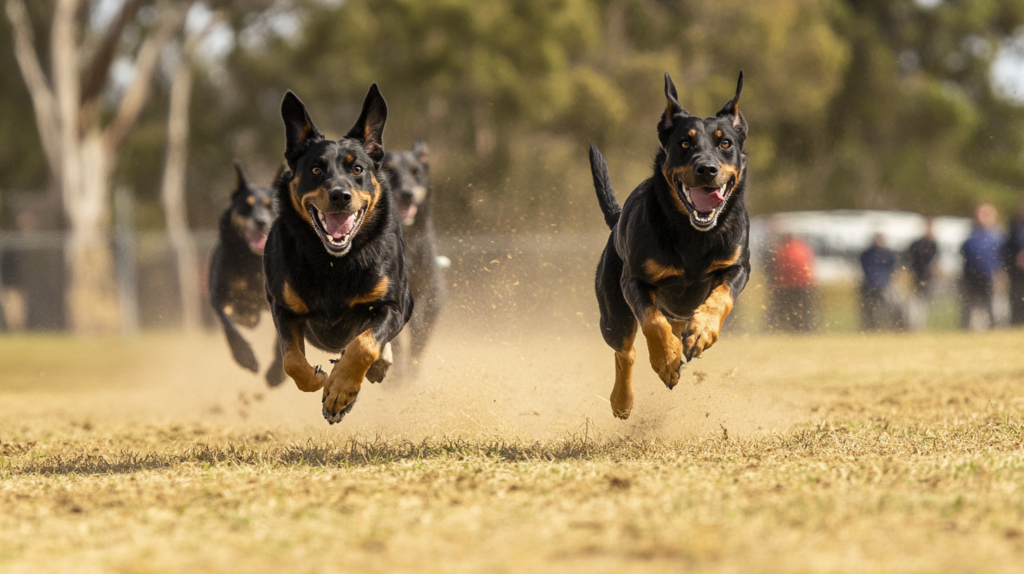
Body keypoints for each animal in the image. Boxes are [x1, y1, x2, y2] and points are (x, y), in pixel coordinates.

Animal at [208, 161, 286, 384]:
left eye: (272, 206)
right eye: (246, 205)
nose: (260, 221)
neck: (251, 261)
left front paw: (276, 374)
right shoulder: (219, 295)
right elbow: (230, 328)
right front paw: (245, 358)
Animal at [264, 85, 415, 425]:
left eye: (357, 169)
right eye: (316, 169)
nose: (340, 195)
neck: (334, 262)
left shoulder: (393, 304)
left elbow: (364, 345)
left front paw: (340, 391)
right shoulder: (284, 308)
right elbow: (291, 358)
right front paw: (317, 379)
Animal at [593, 72, 753, 421]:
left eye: (725, 143)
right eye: (684, 143)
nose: (706, 169)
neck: (693, 234)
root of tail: (616, 221)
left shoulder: (738, 266)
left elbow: (721, 298)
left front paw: (702, 332)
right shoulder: (634, 279)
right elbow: (652, 320)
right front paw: (666, 360)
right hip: (612, 312)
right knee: (625, 350)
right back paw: (622, 401)